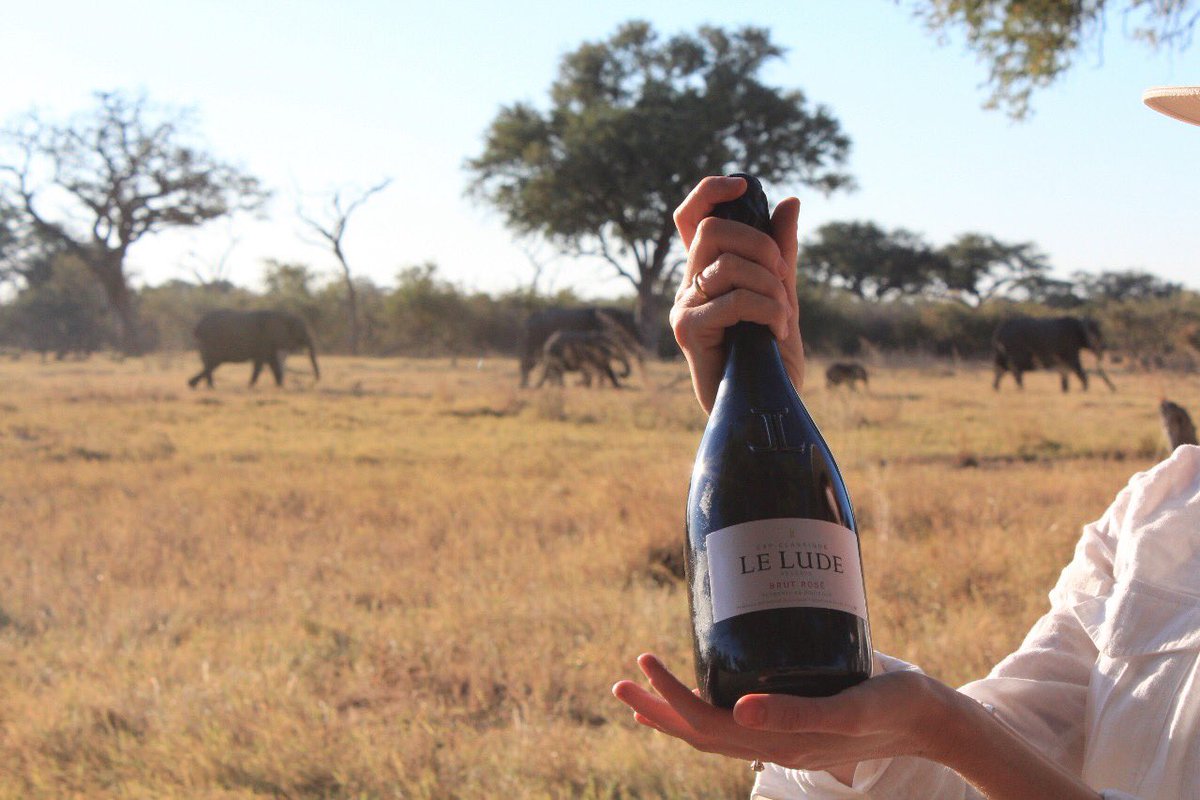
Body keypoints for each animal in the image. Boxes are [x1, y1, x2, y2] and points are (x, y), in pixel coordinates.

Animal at [187, 309, 320, 389]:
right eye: (301, 331)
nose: (313, 383)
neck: (282, 315)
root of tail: (197, 327)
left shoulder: (269, 342)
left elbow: (272, 362)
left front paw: (279, 386)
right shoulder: (265, 339)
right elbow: (261, 363)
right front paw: (250, 386)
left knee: (210, 364)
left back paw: (198, 385)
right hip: (211, 342)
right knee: (212, 363)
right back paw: (200, 385)